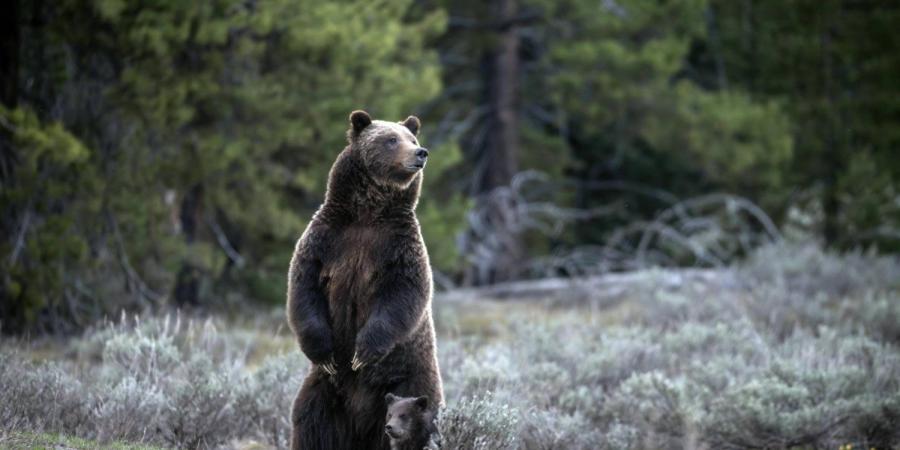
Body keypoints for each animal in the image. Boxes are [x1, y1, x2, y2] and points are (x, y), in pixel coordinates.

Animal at [288, 110, 442, 450]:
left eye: (412, 138)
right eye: (391, 139)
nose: (420, 153)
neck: (368, 212)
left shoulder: (398, 246)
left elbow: (403, 294)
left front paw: (362, 353)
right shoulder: (327, 239)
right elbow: (304, 288)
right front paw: (327, 354)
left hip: (411, 380)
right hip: (325, 393)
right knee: (311, 422)